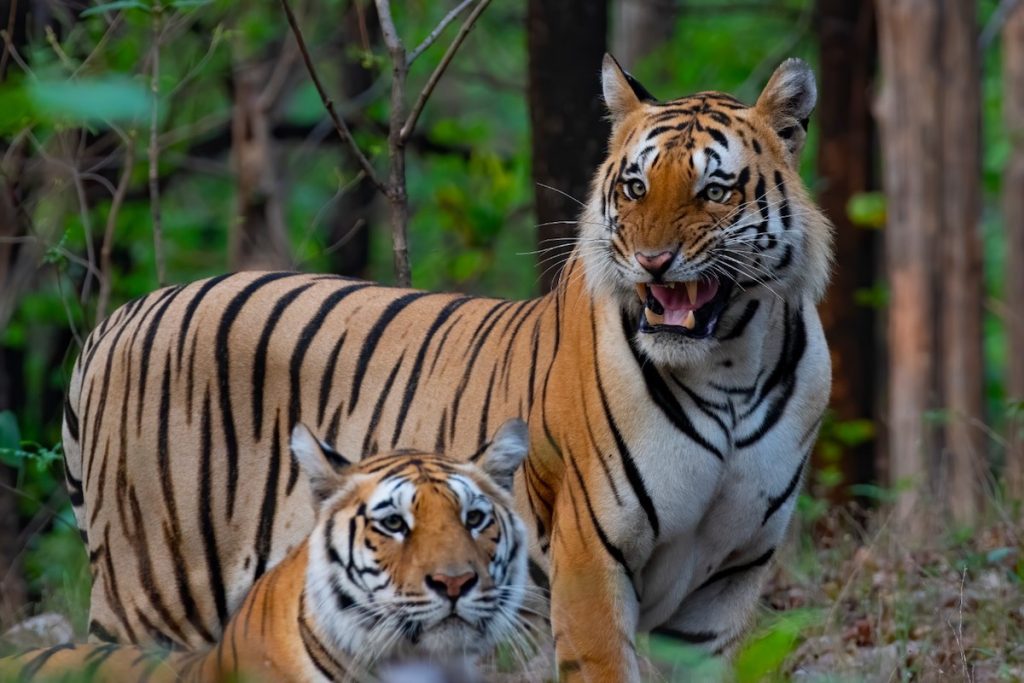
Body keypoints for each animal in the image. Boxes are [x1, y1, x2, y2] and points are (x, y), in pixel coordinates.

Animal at [62, 56, 832, 681]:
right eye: (636, 187)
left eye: (714, 191)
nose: (652, 261)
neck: (730, 366)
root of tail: (116, 321)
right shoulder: (592, 558)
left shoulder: (726, 583)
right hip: (155, 597)